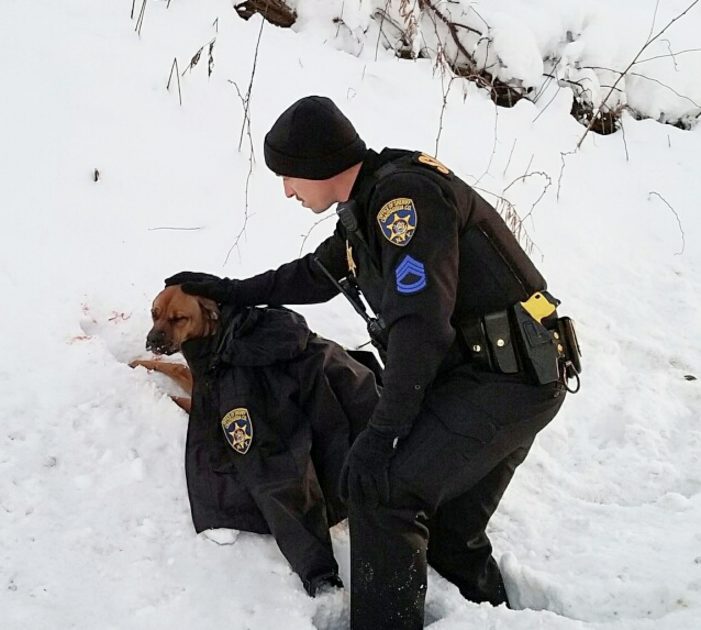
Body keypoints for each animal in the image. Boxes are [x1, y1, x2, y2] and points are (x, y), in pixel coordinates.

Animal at [129, 286, 220, 414]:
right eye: (153, 313)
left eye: (179, 318)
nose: (151, 340)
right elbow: (177, 367)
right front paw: (138, 363)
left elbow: (176, 399)